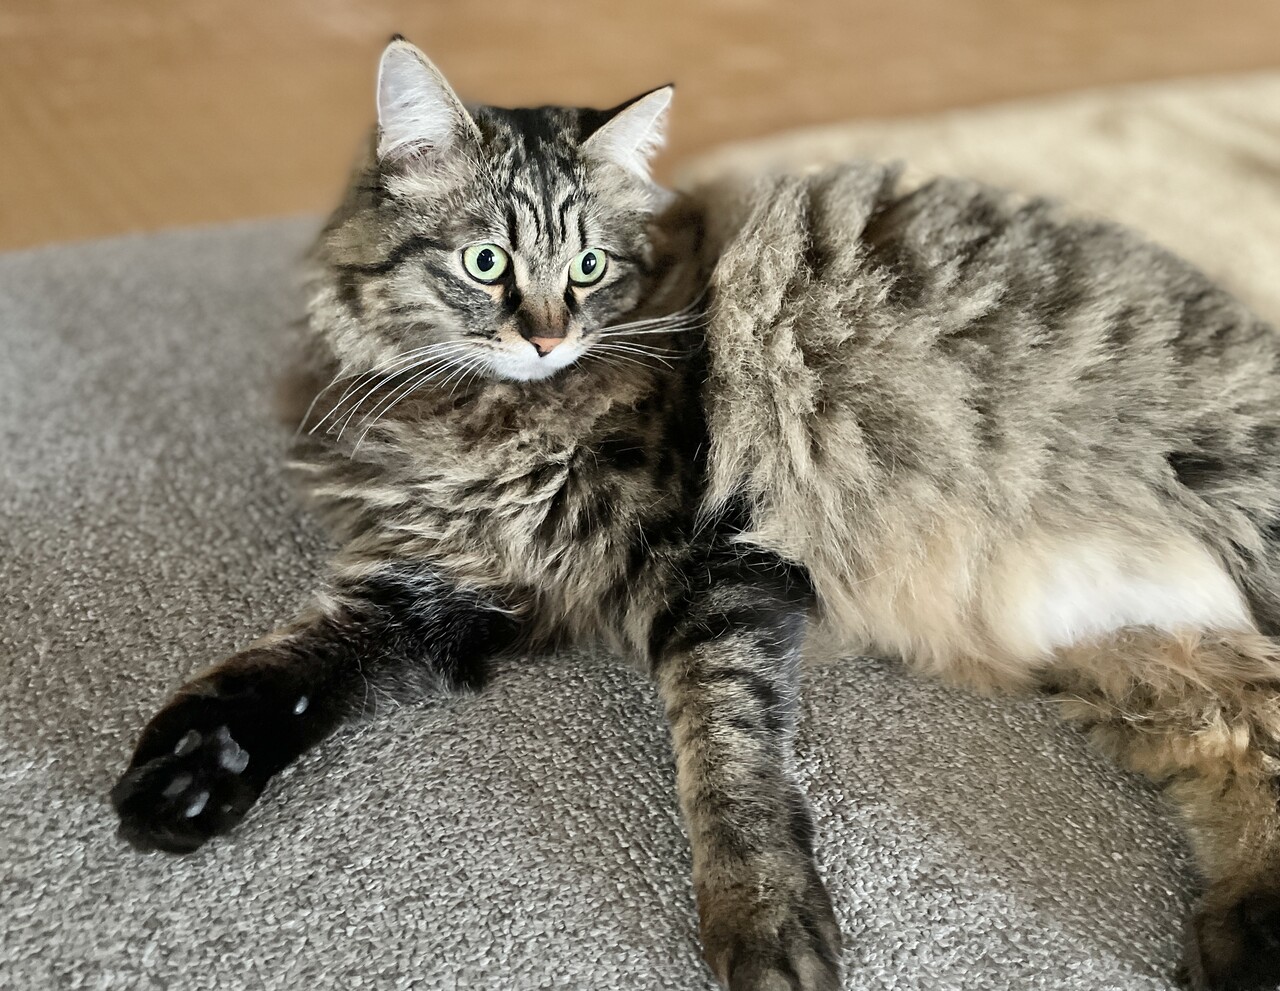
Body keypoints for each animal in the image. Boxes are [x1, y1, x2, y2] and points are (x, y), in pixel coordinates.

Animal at [109, 35, 1280, 991]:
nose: (545, 335)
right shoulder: (436, 580)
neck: (490, 421)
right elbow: (280, 667)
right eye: (487, 261)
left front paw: (764, 925)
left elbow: (727, 760)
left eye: (587, 266)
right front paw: (185, 775)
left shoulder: (719, 566)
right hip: (1142, 662)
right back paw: (1243, 941)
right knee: (1248, 739)